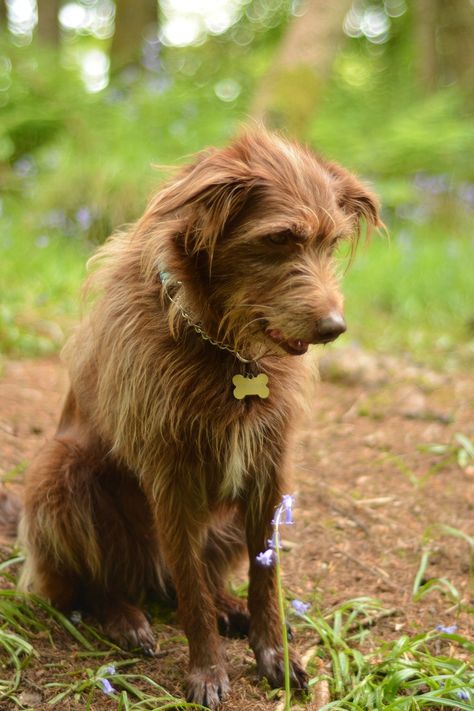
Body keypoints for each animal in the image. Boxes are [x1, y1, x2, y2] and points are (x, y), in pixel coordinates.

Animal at [19, 131, 382, 708]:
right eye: (279, 238)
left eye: (330, 243)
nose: (334, 327)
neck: (227, 348)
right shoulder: (172, 479)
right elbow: (189, 589)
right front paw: (207, 671)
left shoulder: (268, 472)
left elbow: (264, 576)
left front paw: (273, 655)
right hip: (60, 470)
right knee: (102, 583)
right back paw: (126, 618)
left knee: (197, 579)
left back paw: (227, 606)